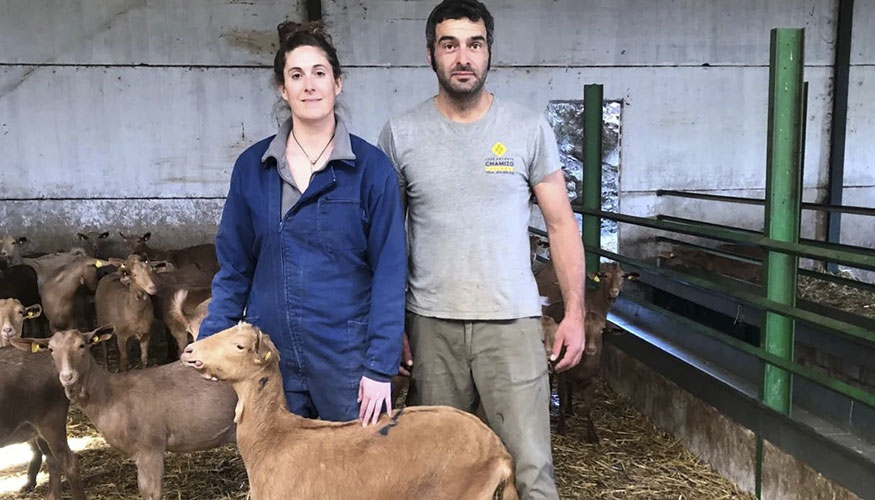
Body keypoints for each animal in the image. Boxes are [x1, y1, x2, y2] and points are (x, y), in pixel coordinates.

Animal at [20, 328, 238, 500]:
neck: (110, 395)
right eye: (50, 349)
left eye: (82, 345)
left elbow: (152, 493)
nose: (67, 377)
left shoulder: (151, 447)